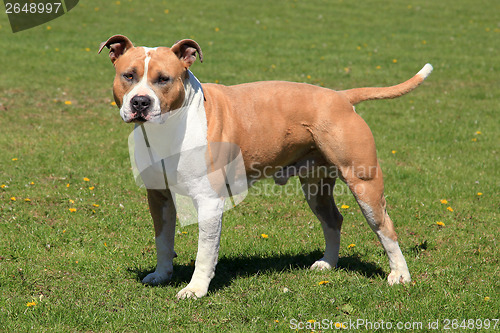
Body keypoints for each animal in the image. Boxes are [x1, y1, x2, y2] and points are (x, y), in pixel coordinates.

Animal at [98, 34, 434, 298]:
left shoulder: (208, 202)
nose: (140, 102)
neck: (169, 129)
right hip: (316, 186)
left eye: (163, 79)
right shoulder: (159, 197)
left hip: (364, 184)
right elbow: (163, 241)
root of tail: (340, 97)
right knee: (333, 220)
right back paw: (327, 264)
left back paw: (399, 275)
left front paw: (196, 289)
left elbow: (205, 251)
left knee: (385, 227)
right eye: (128, 76)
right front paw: (162, 274)